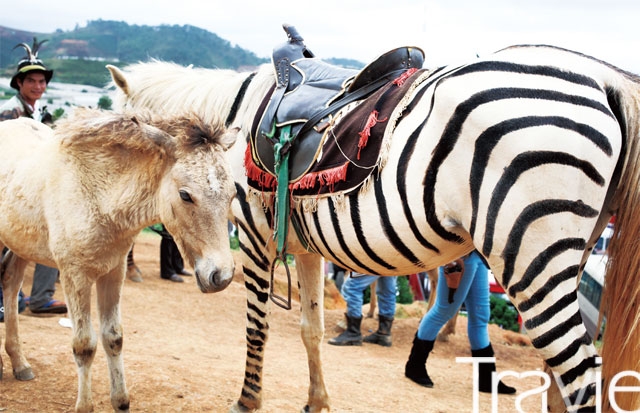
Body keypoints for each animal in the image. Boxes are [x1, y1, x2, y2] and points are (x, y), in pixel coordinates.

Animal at [107, 43, 640, 410]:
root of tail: (602, 77)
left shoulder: (255, 239)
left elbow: (257, 330)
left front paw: (247, 401)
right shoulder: (305, 249)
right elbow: (311, 329)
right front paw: (317, 402)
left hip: (532, 262)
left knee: (581, 377)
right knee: (560, 379)